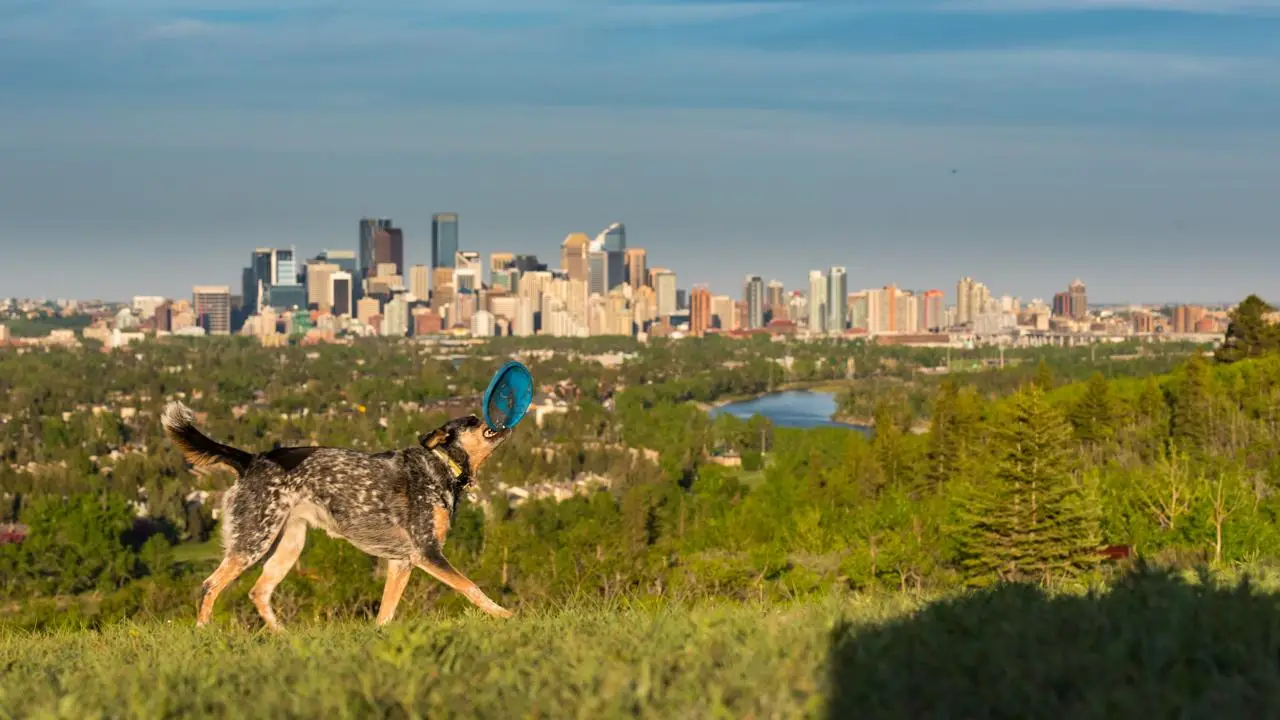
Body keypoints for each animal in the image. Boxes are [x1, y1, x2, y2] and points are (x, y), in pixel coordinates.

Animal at [162, 399, 512, 630]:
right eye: (471, 421)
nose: (500, 416)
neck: (441, 465)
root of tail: (251, 459)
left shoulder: (401, 562)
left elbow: (386, 612)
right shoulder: (428, 553)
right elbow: (470, 586)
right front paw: (505, 615)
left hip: (289, 544)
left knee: (258, 592)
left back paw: (283, 637)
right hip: (253, 541)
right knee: (210, 585)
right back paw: (204, 631)